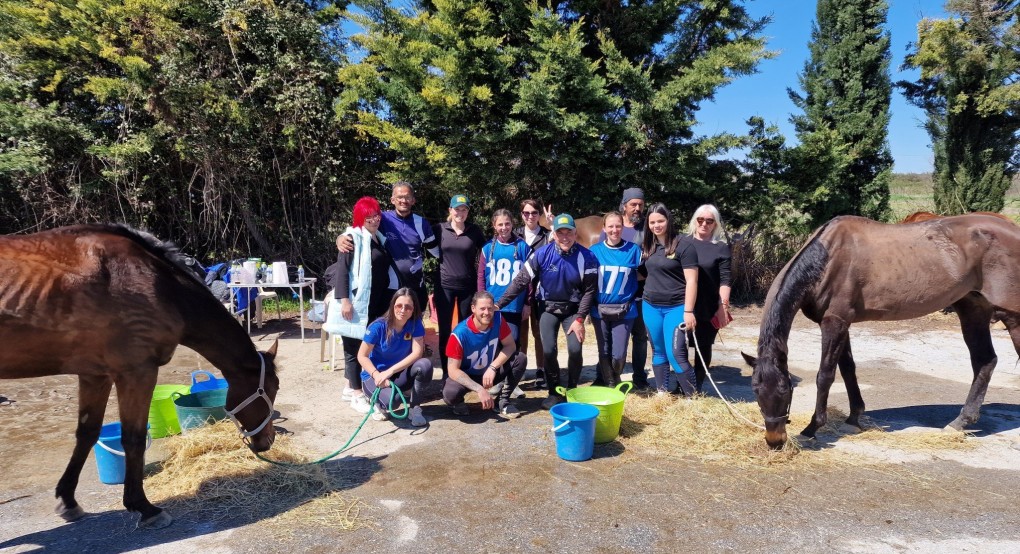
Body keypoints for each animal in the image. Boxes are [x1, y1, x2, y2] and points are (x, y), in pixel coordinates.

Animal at [0, 225, 279, 530]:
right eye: (273, 389)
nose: (268, 441)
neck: (158, 285)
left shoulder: (95, 375)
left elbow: (87, 433)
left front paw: (68, 500)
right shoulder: (137, 372)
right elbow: (132, 438)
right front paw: (144, 507)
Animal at [742, 214, 1020, 448]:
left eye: (784, 390)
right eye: (755, 390)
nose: (775, 441)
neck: (829, 257)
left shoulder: (834, 322)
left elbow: (826, 375)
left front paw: (812, 427)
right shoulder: (841, 323)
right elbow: (848, 369)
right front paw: (855, 417)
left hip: (1013, 317)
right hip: (973, 310)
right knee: (984, 362)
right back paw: (960, 422)